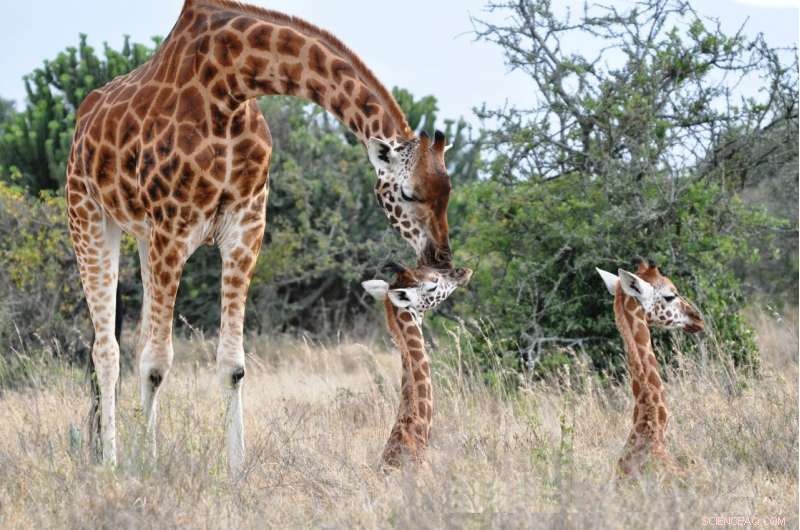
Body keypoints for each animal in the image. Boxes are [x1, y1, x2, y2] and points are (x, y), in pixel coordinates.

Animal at [66, 0, 459, 473]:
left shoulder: (246, 225)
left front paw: (236, 471)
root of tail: (83, 118)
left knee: (134, 342)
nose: (441, 257)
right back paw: (110, 462)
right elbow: (156, 364)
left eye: (449, 189)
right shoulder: (173, 226)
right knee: (107, 351)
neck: (230, 87)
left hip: (142, 235)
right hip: (88, 213)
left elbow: (232, 363)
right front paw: (149, 468)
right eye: (407, 193)